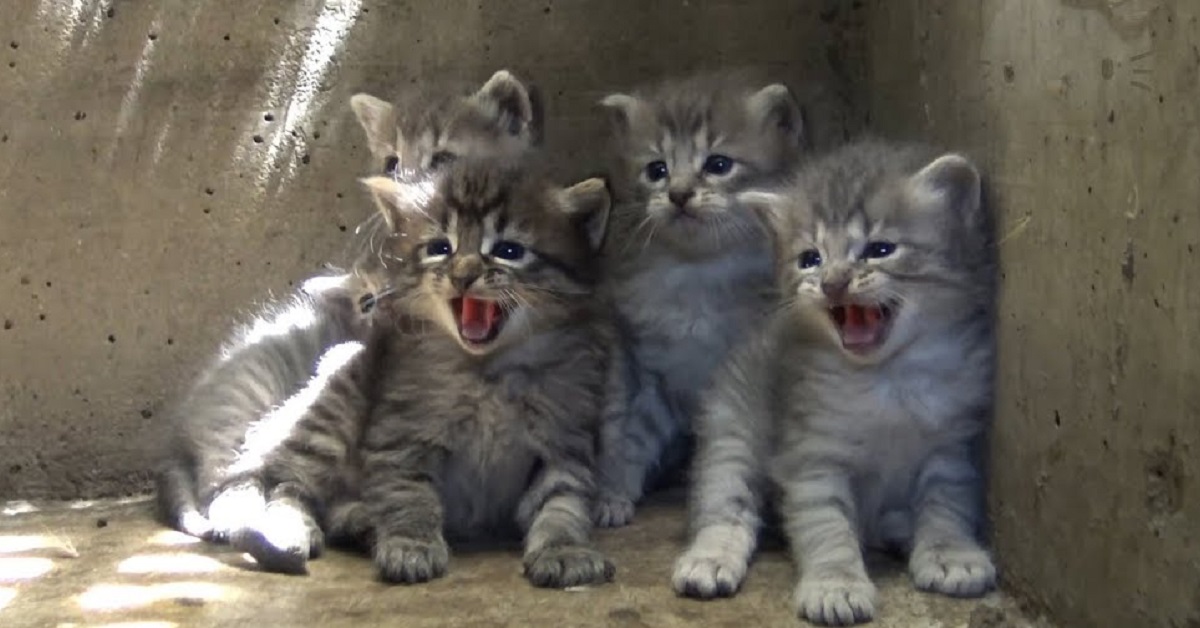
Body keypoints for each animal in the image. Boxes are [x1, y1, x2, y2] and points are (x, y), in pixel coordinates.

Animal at [345, 157, 609, 590]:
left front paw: (562, 548)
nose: (463, 274)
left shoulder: (563, 439)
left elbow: (561, 504)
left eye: (508, 251)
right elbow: (407, 493)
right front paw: (410, 543)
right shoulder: (401, 434)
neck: (489, 371)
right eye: (440, 248)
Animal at [590, 71, 806, 528]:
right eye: (657, 170)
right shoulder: (649, 372)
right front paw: (613, 493)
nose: (679, 194)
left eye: (718, 165)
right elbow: (629, 438)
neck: (697, 272)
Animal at [672, 139, 998, 624]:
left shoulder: (951, 448)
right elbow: (826, 525)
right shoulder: (813, 457)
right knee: (725, 498)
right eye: (811, 259)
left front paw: (951, 554)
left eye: (880, 249)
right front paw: (835, 584)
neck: (886, 377)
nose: (833, 283)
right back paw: (710, 557)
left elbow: (947, 505)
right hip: (731, 428)